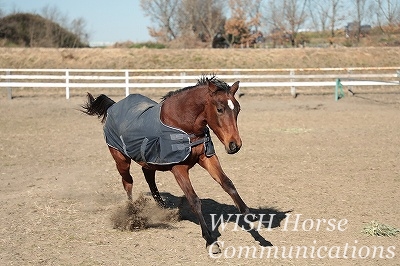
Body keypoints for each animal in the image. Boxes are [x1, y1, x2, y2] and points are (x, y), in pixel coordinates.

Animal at [81, 75, 248, 254]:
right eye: (219, 109)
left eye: (238, 109)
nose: (235, 145)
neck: (181, 123)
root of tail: (113, 105)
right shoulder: (178, 168)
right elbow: (194, 200)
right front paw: (210, 240)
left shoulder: (207, 157)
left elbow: (228, 184)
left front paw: (246, 212)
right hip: (121, 159)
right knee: (128, 182)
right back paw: (133, 212)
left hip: (148, 160)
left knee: (148, 175)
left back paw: (161, 206)